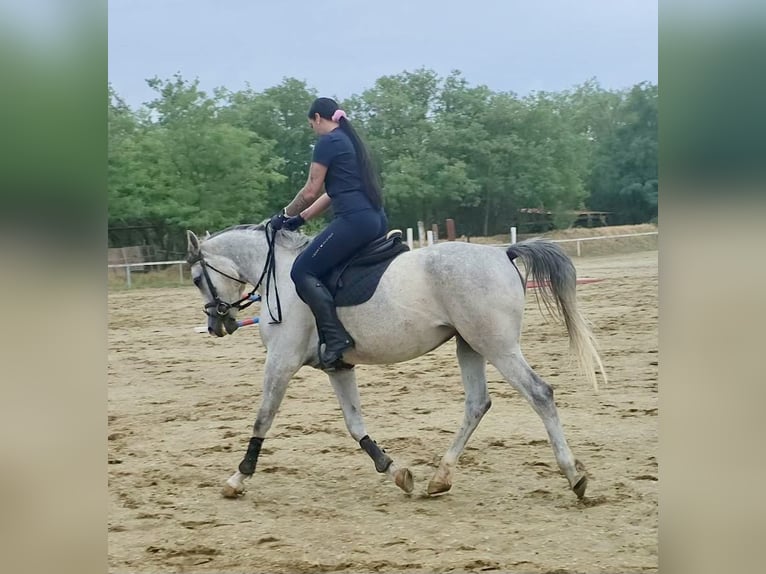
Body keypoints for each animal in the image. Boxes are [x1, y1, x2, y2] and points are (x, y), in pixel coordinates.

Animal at [185, 222, 606, 500]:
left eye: (196, 279)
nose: (216, 325)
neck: (281, 277)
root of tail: (501, 251)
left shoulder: (280, 362)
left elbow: (263, 418)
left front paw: (238, 478)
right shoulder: (338, 367)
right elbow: (355, 425)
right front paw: (396, 471)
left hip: (497, 346)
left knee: (540, 393)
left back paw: (574, 476)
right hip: (469, 345)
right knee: (477, 404)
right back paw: (440, 477)